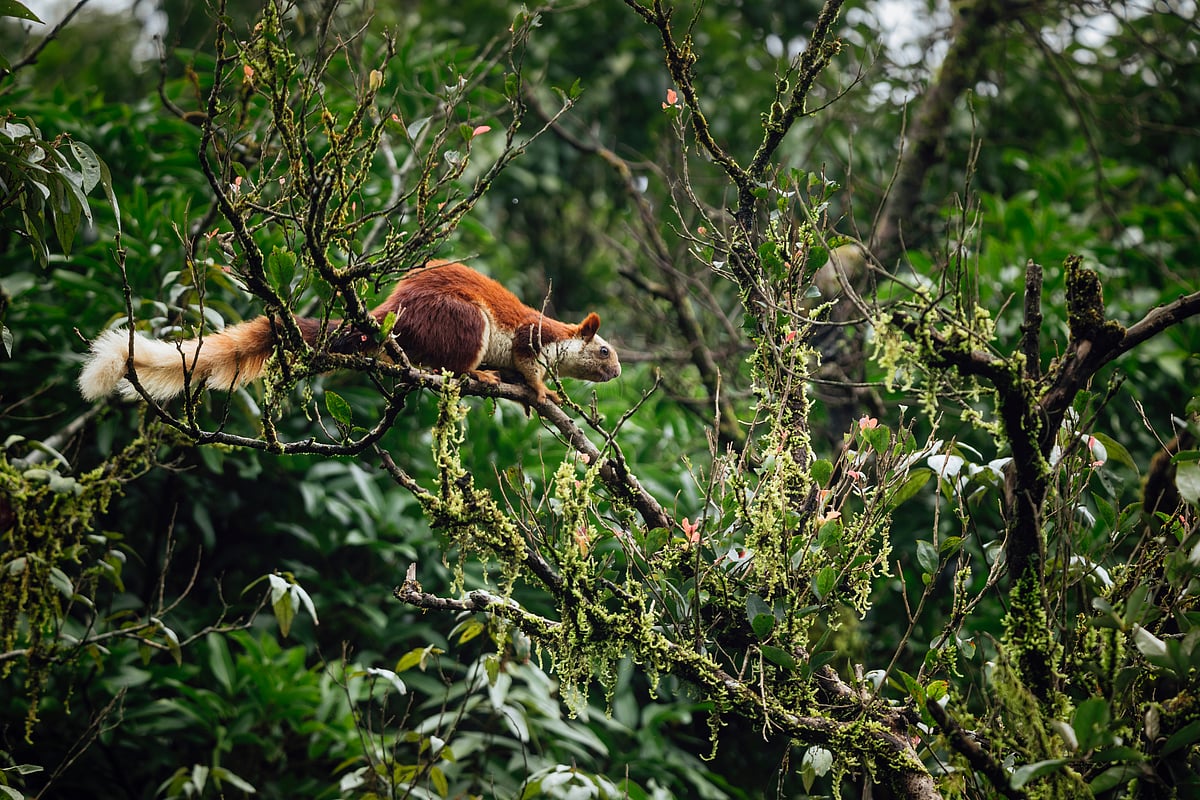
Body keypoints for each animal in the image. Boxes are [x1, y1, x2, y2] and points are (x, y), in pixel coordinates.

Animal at [78, 261, 621, 405]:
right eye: (604, 350)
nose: (616, 372)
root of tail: (391, 313)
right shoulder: (532, 336)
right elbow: (528, 366)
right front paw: (542, 391)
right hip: (464, 322)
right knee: (454, 362)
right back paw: (477, 377)